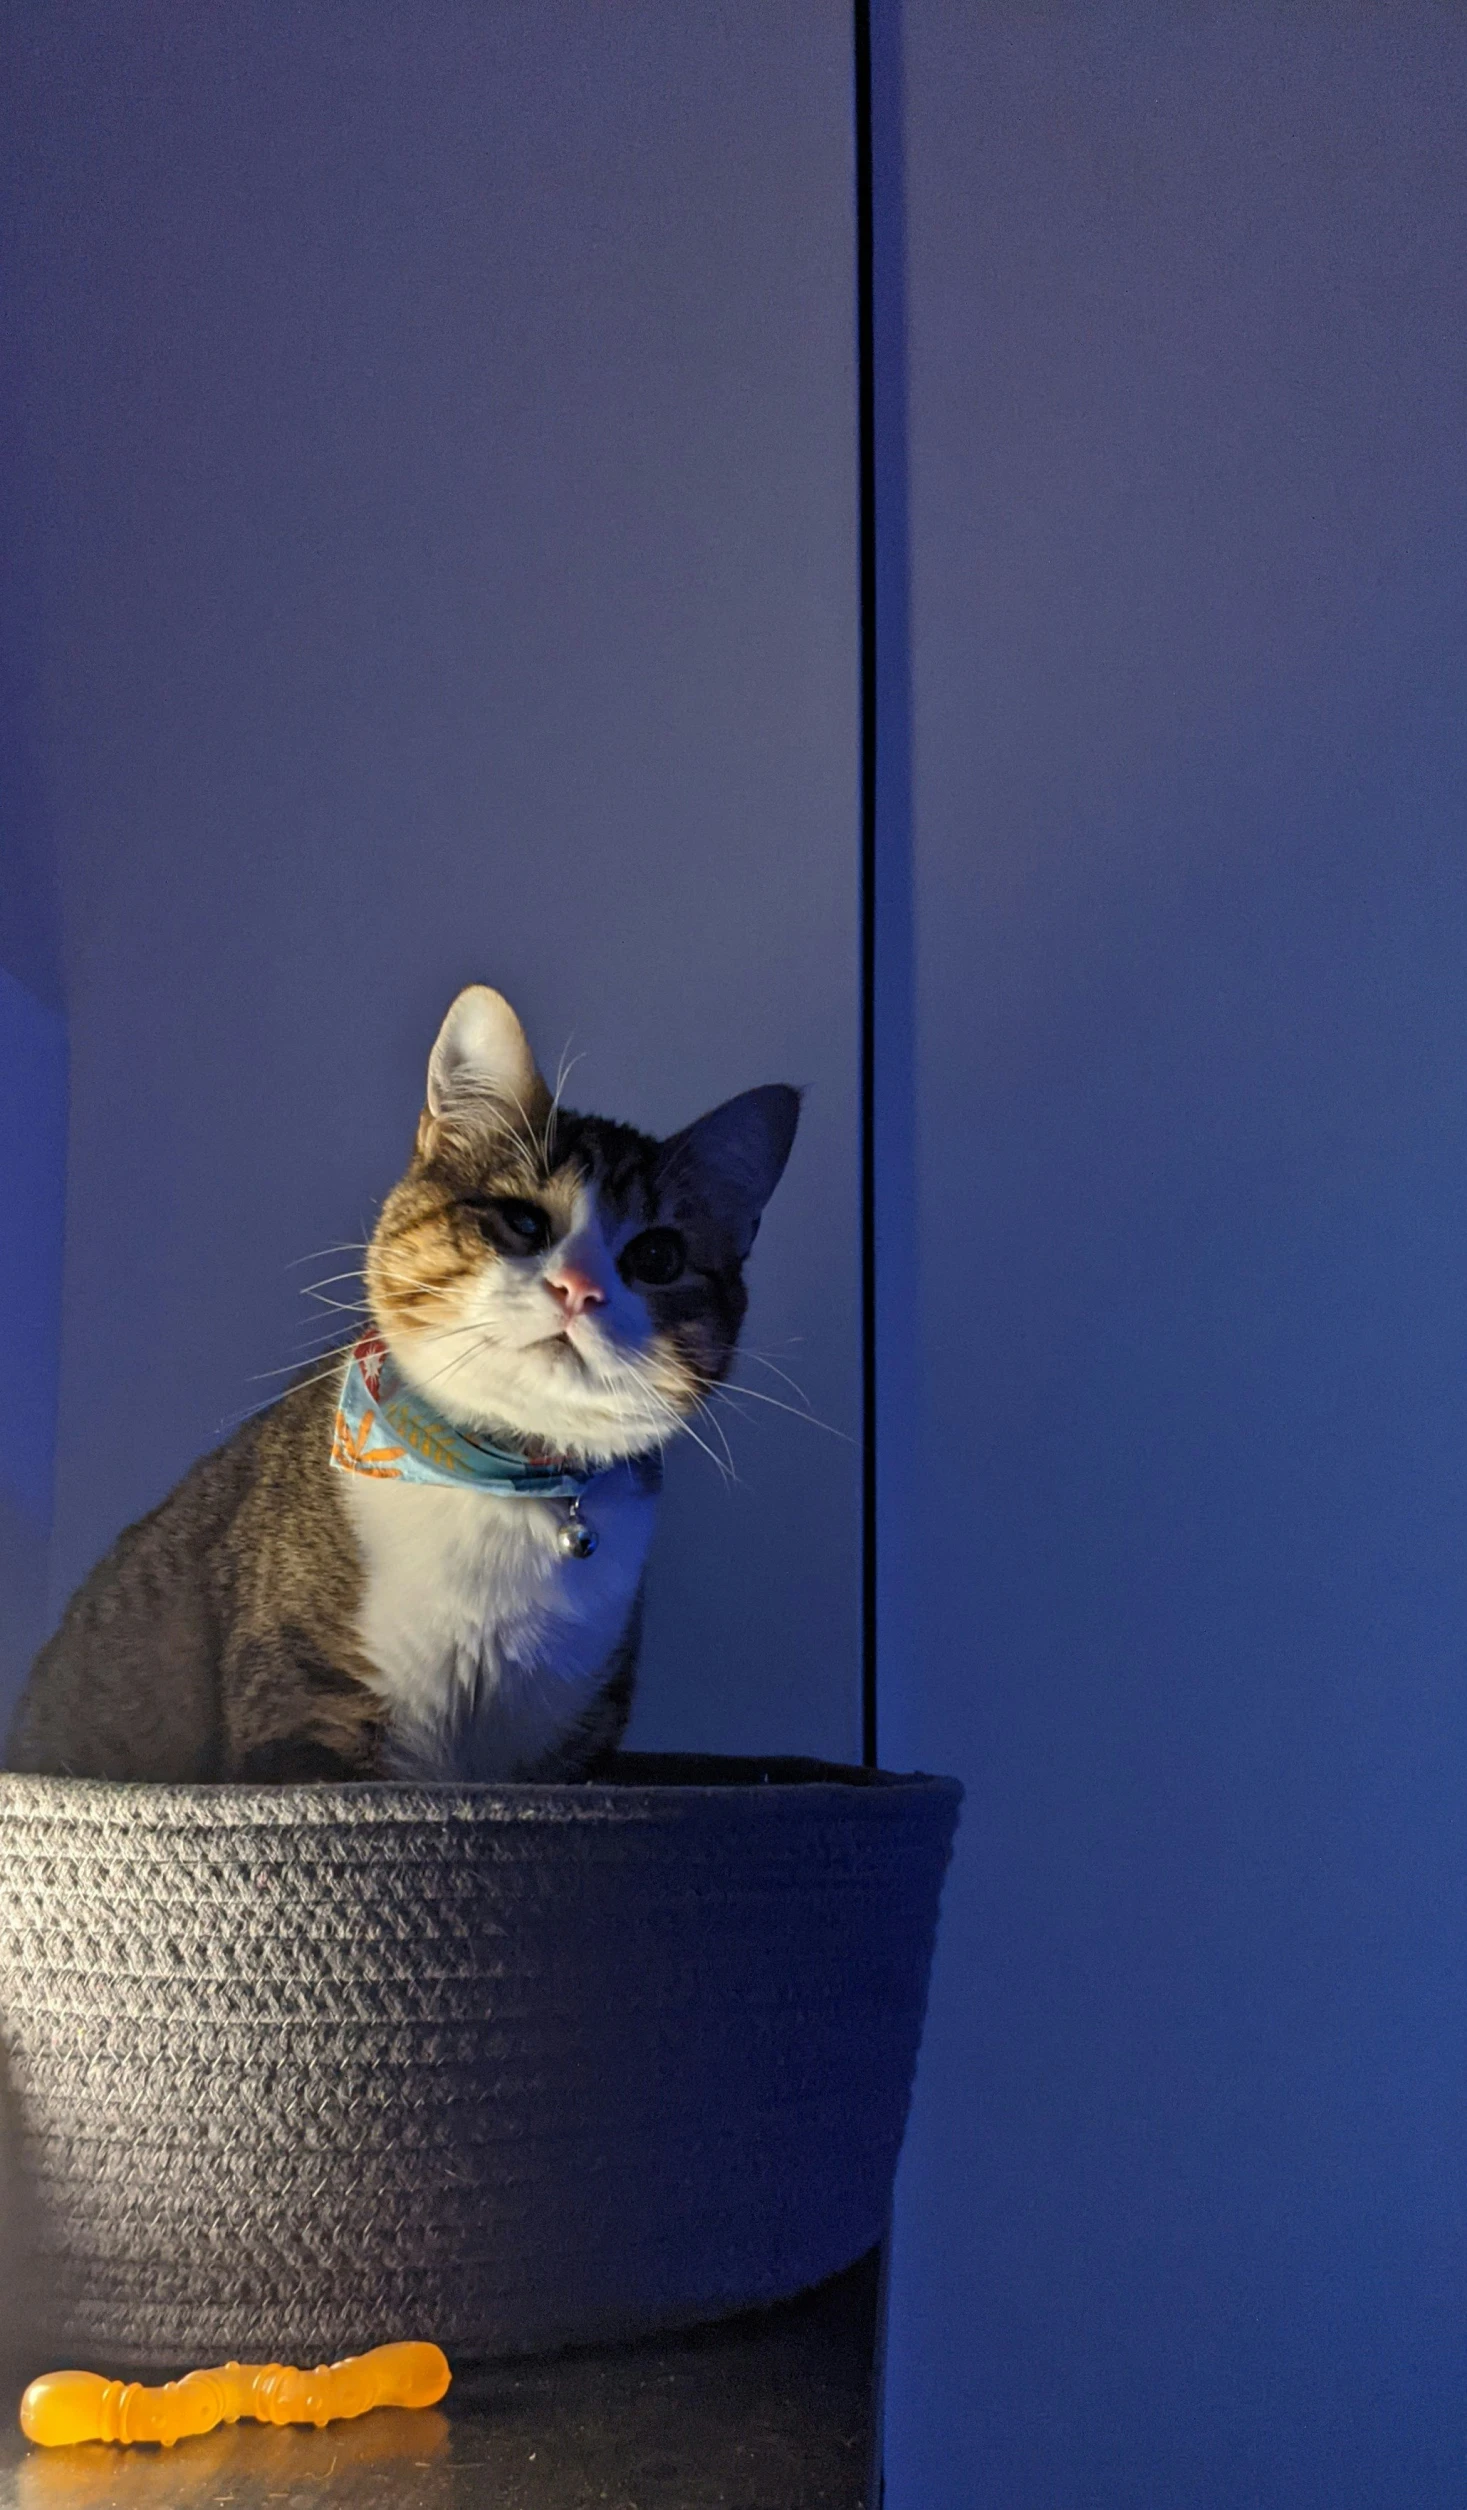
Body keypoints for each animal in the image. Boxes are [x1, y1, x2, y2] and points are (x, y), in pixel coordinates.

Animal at [5, 978, 798, 1787]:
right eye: (521, 1220)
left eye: (658, 1256)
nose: (579, 1289)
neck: (499, 1480)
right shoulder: (307, 1719)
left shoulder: (563, 1760)